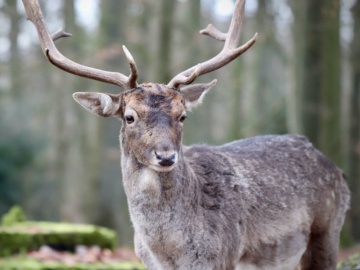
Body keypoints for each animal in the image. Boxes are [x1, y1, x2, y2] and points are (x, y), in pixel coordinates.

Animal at [23, 0, 348, 268]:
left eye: (182, 116)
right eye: (129, 117)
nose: (166, 156)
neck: (169, 251)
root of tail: (336, 168)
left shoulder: (224, 257)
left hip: (327, 229)